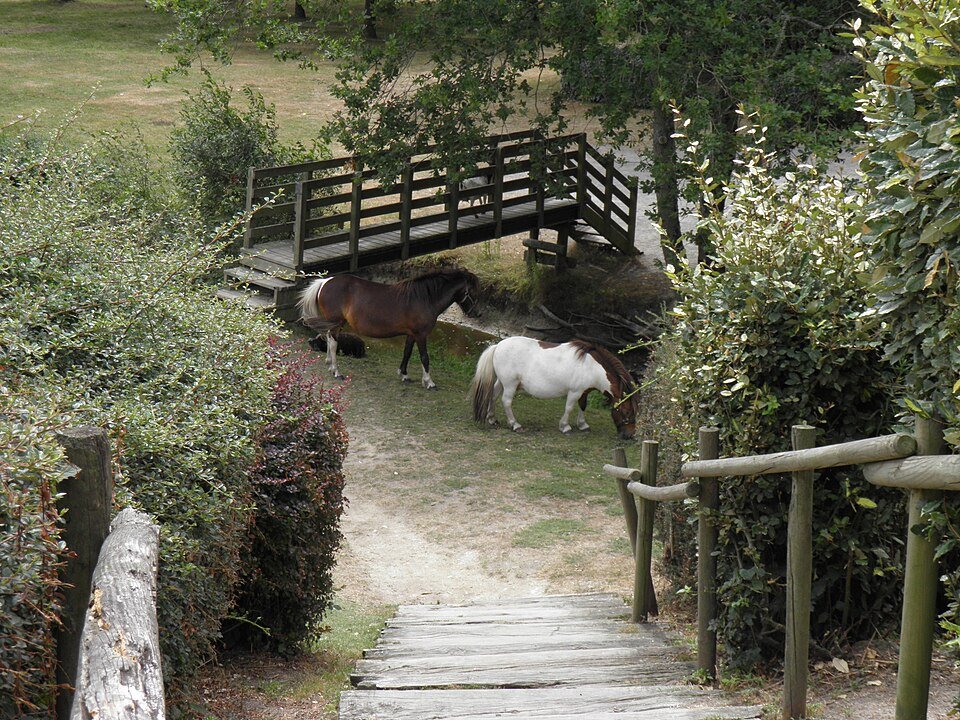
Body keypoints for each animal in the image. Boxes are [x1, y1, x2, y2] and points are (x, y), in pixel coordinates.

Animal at [298, 269, 480, 389]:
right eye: (471, 291)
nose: (477, 313)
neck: (424, 298)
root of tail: (324, 282)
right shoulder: (421, 334)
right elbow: (424, 357)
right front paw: (429, 382)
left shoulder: (411, 334)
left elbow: (407, 352)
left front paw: (404, 374)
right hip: (336, 323)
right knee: (334, 343)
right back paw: (336, 371)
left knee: (329, 339)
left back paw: (330, 364)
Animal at [470, 336, 638, 439]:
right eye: (626, 412)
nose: (629, 435)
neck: (591, 366)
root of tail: (498, 346)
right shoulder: (574, 392)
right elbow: (569, 408)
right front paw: (565, 427)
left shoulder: (584, 392)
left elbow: (583, 406)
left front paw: (583, 425)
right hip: (510, 384)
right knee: (506, 401)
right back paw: (515, 424)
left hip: (502, 382)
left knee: (493, 396)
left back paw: (492, 419)